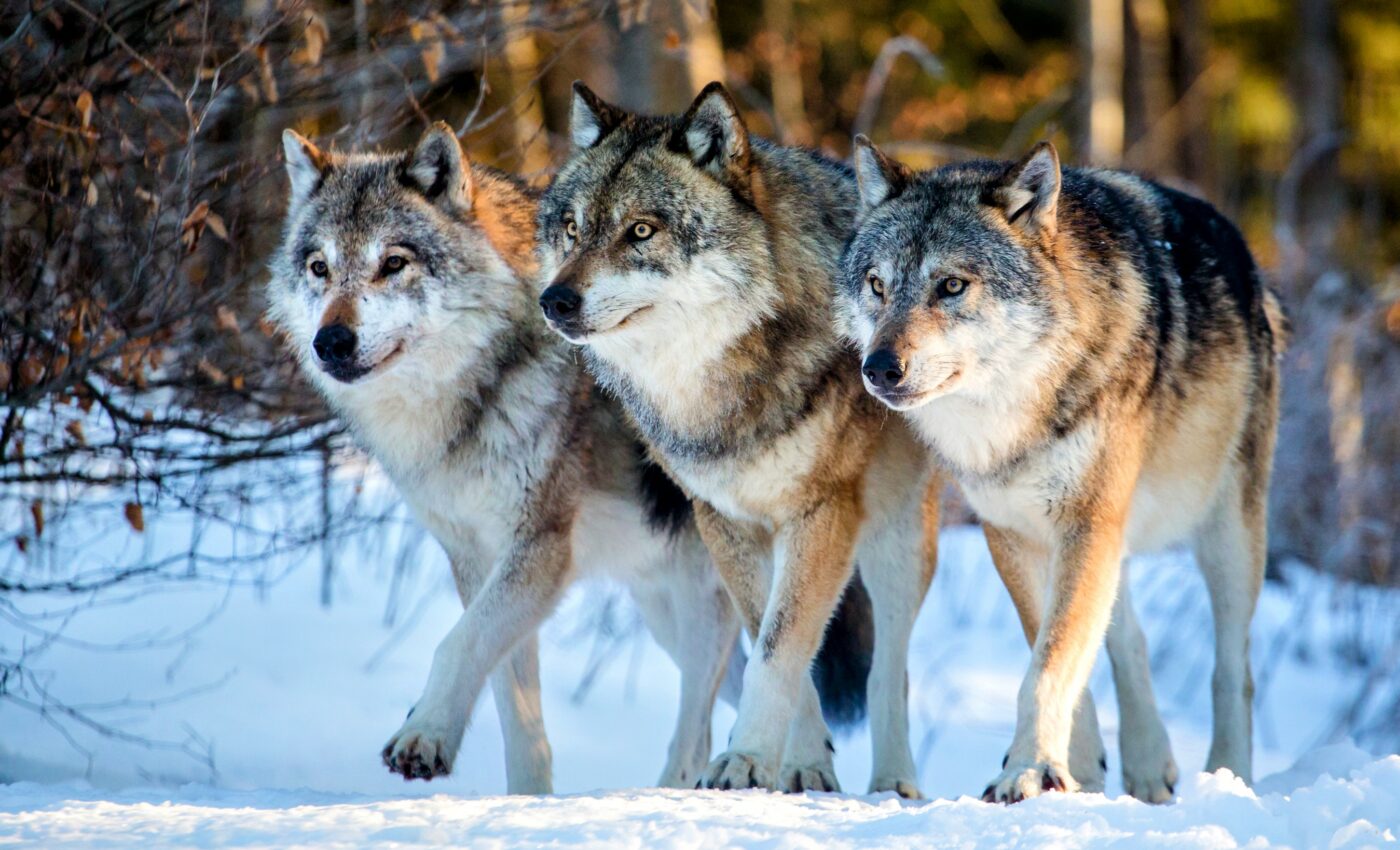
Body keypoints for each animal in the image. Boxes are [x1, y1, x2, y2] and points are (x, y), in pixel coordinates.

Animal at [267, 122, 749, 793]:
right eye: (319, 267)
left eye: (393, 264)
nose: (331, 342)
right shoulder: (477, 558)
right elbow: (516, 712)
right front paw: (526, 800)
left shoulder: (539, 549)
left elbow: (456, 645)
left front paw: (423, 735)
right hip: (667, 610)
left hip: (709, 597)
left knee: (703, 724)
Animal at [535, 82, 941, 797]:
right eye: (573, 230)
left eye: (642, 230)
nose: (554, 301)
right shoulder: (723, 519)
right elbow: (774, 642)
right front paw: (796, 765)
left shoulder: (822, 514)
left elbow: (781, 647)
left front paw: (745, 759)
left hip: (895, 540)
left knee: (891, 670)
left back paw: (895, 783)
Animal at [840, 137, 1286, 803]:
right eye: (877, 284)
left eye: (951, 286)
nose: (878, 368)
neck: (1014, 413)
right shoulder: (1014, 532)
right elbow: (1050, 650)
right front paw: (1069, 765)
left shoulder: (1085, 522)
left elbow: (1048, 663)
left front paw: (1027, 770)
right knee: (1128, 637)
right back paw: (1147, 764)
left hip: (1225, 536)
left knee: (1234, 669)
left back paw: (1228, 777)